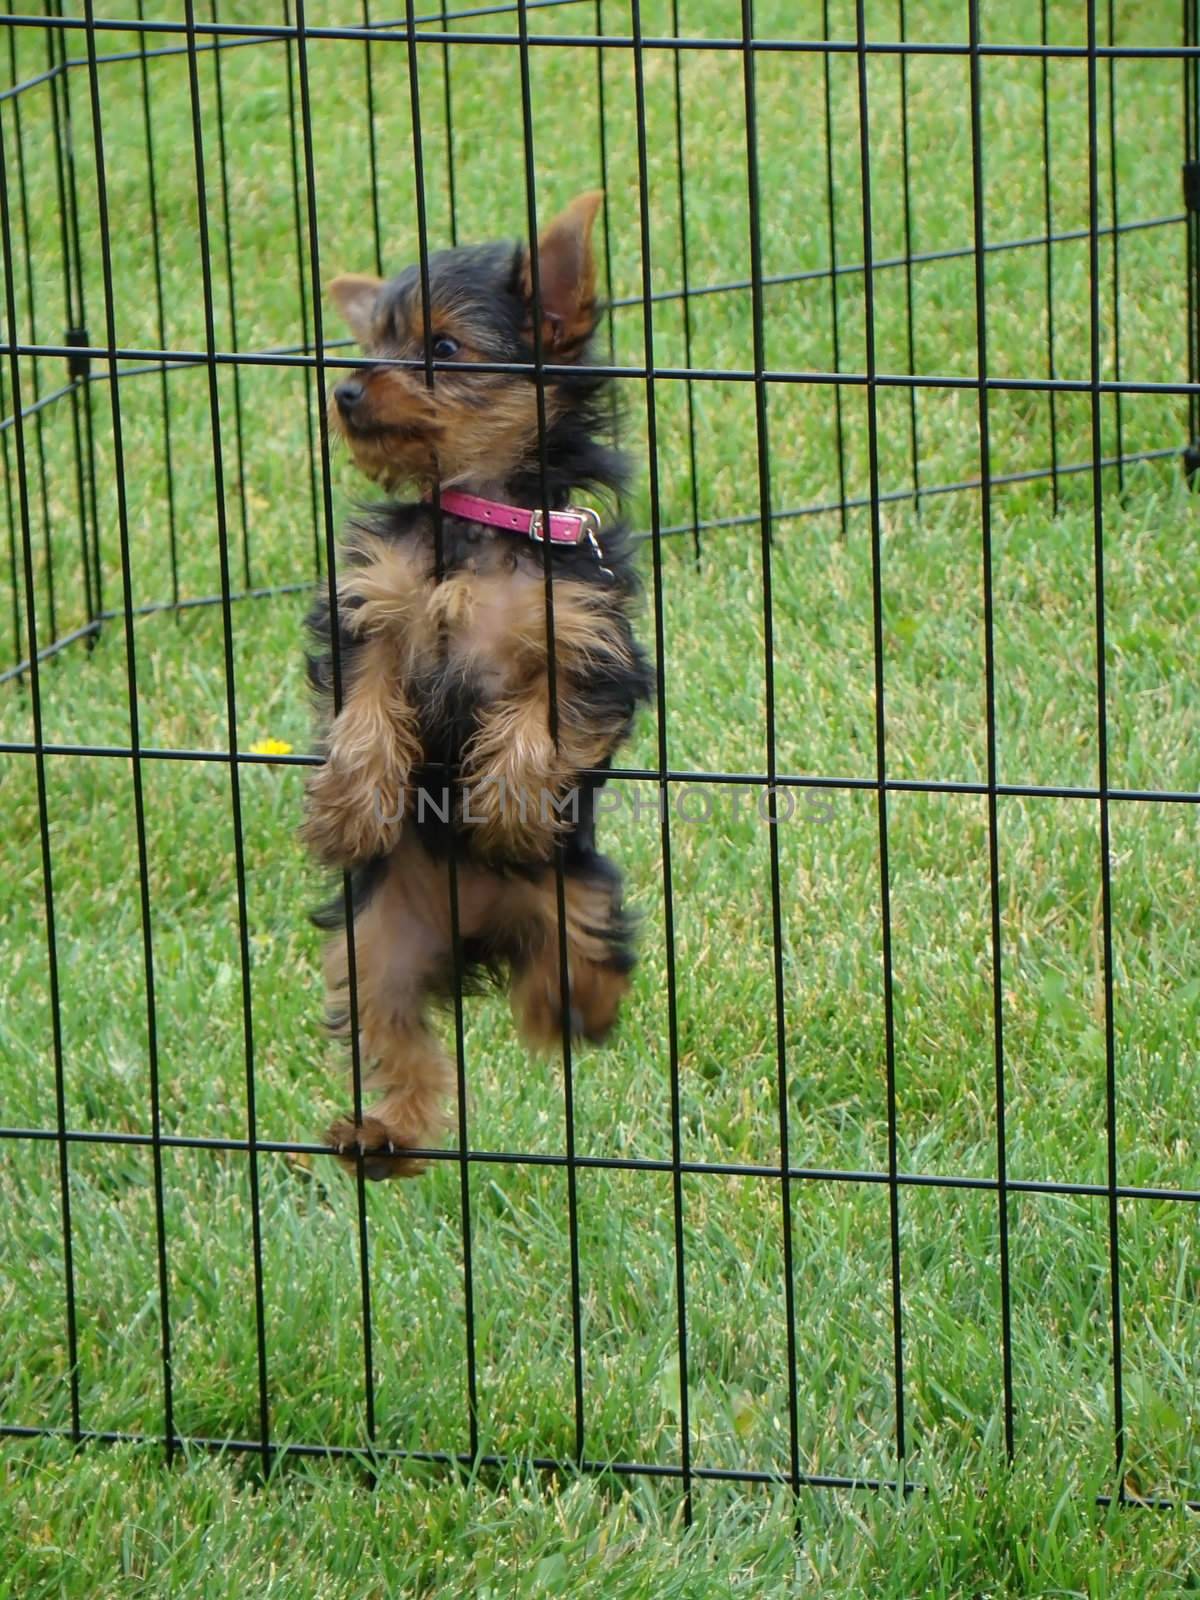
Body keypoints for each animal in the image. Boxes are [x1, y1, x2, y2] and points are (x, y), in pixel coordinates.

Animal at [305, 193, 652, 1184]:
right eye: (375, 344)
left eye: (445, 348)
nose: (347, 393)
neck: (477, 512)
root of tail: (477, 936)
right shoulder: (369, 610)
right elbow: (365, 712)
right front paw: (350, 807)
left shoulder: (587, 638)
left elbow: (543, 718)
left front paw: (507, 806)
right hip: (377, 935)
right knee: (395, 1029)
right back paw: (384, 1135)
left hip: (574, 895)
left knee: (574, 971)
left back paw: (567, 1009)